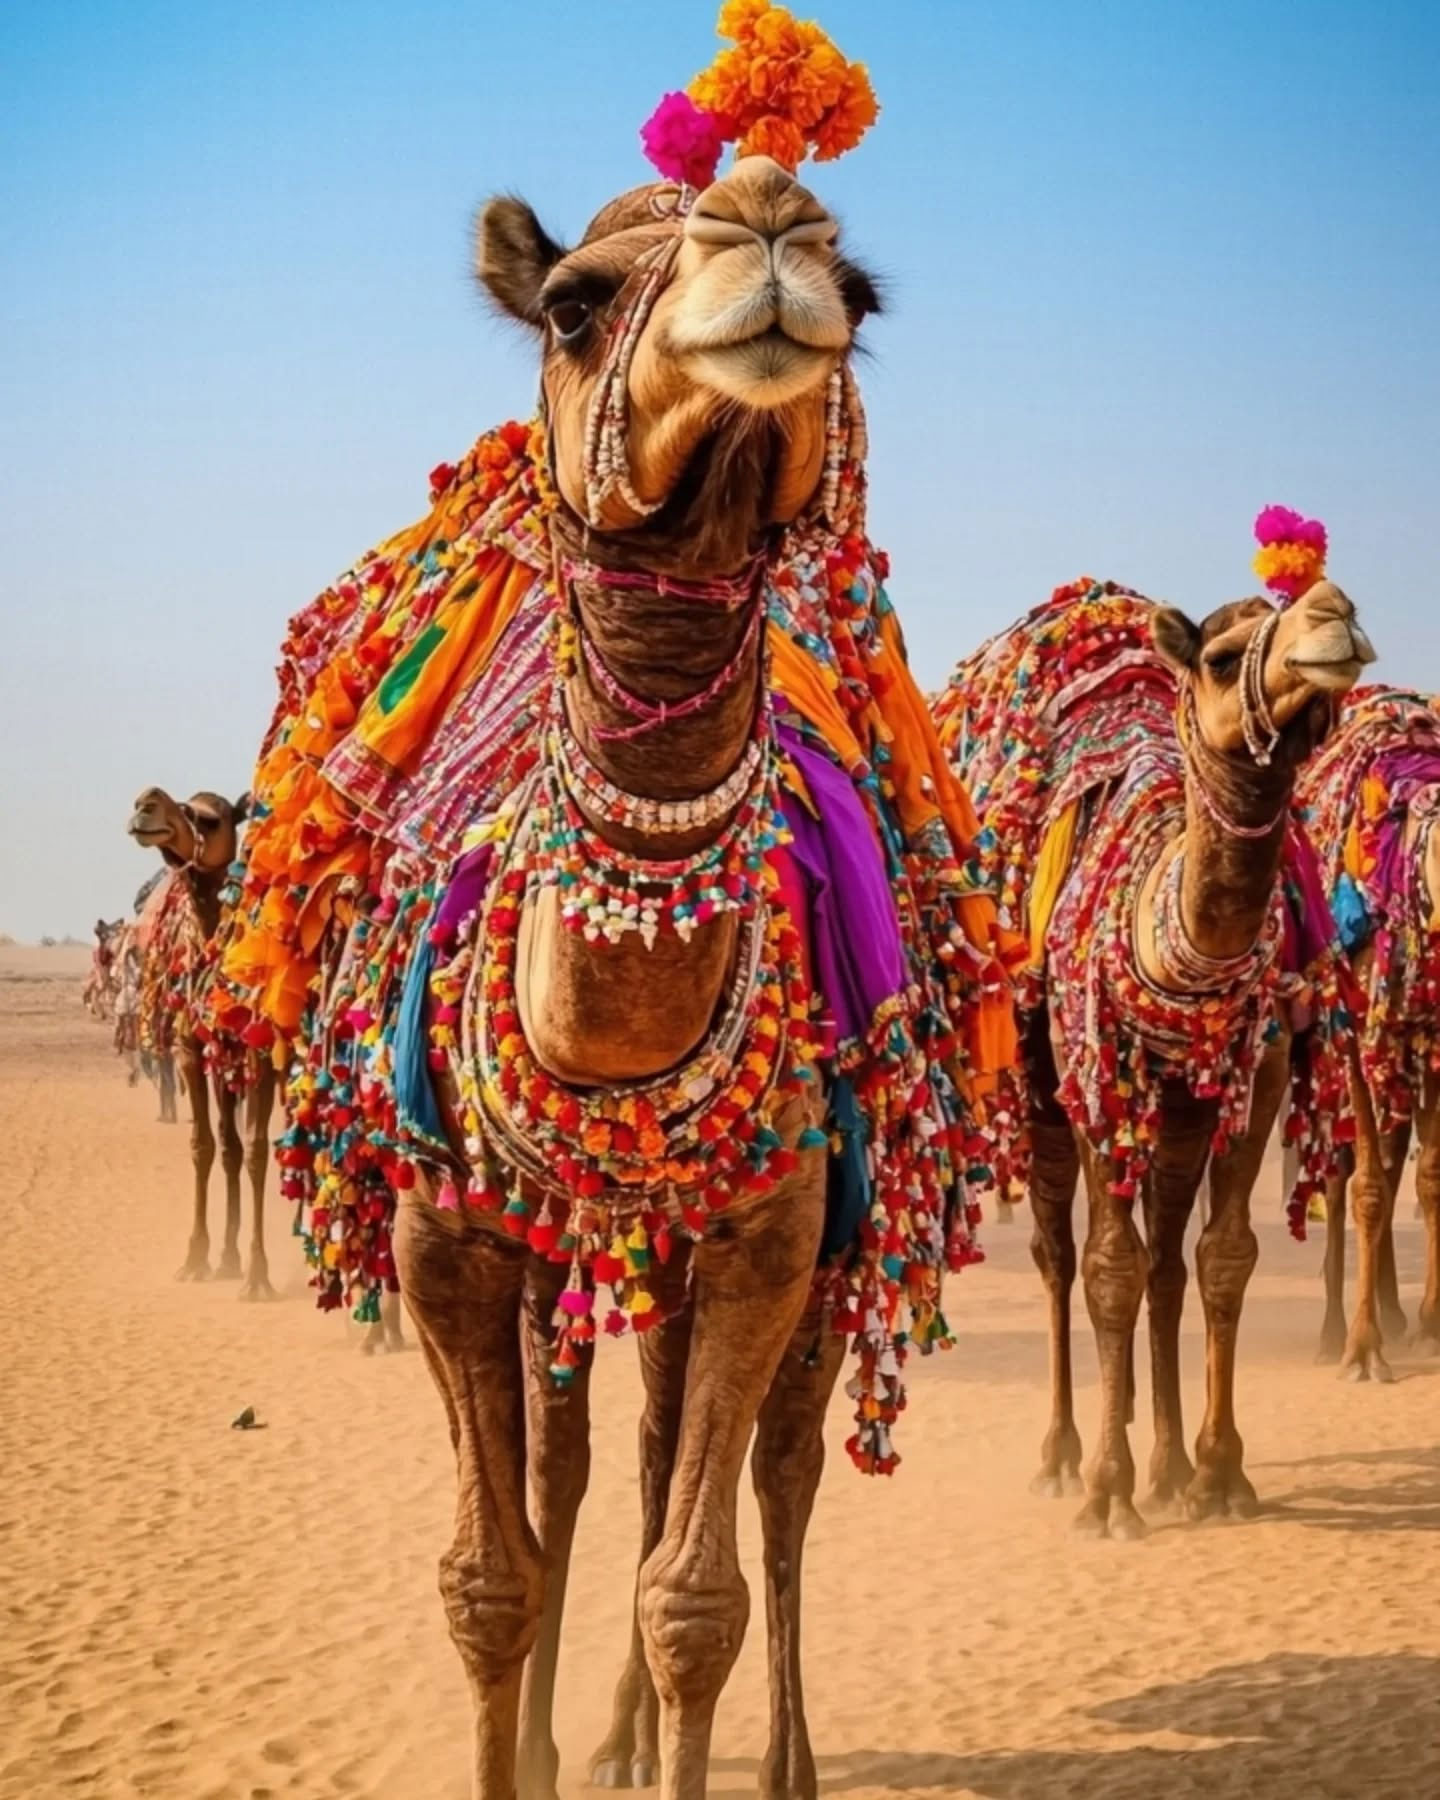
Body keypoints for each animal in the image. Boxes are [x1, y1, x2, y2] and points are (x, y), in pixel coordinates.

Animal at [127, 787, 276, 1295]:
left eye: (211, 819)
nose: (146, 803)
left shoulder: (259, 1055)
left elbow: (257, 1151)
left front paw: (258, 1274)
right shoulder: (190, 1051)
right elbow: (205, 1145)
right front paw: (197, 1258)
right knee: (229, 1145)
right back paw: (228, 1258)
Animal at [938, 577, 1373, 1536]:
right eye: (1221, 657)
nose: (1333, 610)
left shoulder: (1259, 1070)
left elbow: (1223, 1258)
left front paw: (1219, 1474)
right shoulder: (1093, 1070)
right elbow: (1108, 1269)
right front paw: (1107, 1490)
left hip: (1175, 1112)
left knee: (1168, 1260)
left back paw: (1168, 1467)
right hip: (1040, 1084)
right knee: (1060, 1257)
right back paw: (1062, 1458)